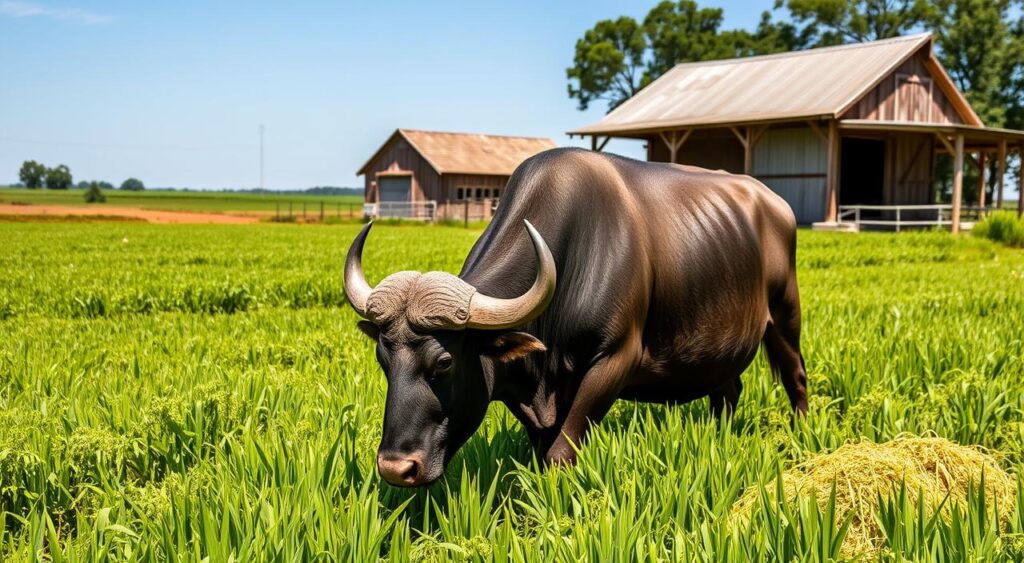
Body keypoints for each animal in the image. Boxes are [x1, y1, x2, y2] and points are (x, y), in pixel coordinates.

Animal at [344, 147, 806, 487]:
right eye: (383, 359)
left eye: (444, 362)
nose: (396, 468)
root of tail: (776, 205)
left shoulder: (615, 360)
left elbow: (560, 453)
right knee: (727, 390)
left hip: (785, 314)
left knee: (795, 374)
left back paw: (802, 436)